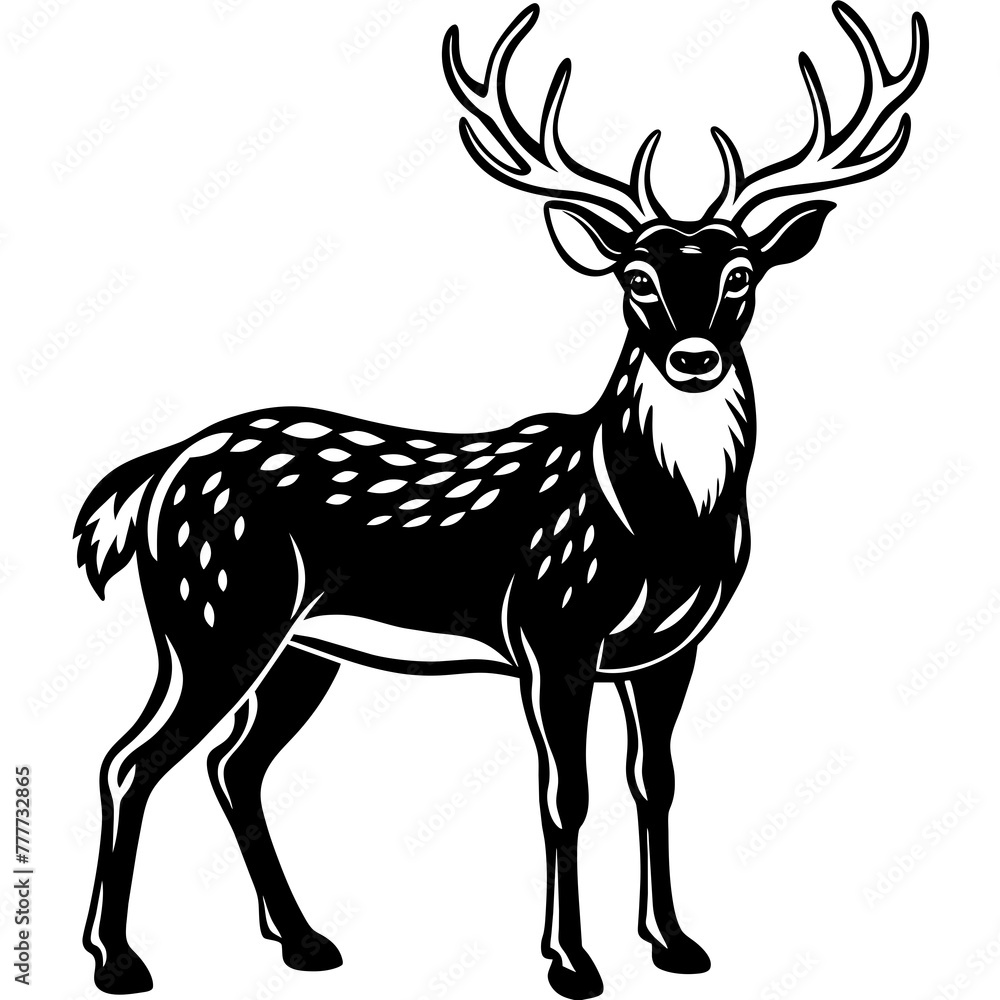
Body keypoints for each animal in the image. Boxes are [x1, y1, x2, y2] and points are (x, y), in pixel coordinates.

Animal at [75, 4, 927, 997]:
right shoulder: (552, 628)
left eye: (741, 272)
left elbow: (657, 780)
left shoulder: (670, 650)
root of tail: (152, 477)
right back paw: (118, 959)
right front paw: (572, 962)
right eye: (637, 277)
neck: (663, 527)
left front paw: (675, 943)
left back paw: (305, 940)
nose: (693, 358)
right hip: (213, 615)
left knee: (232, 766)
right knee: (131, 760)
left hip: (298, 646)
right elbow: (566, 794)